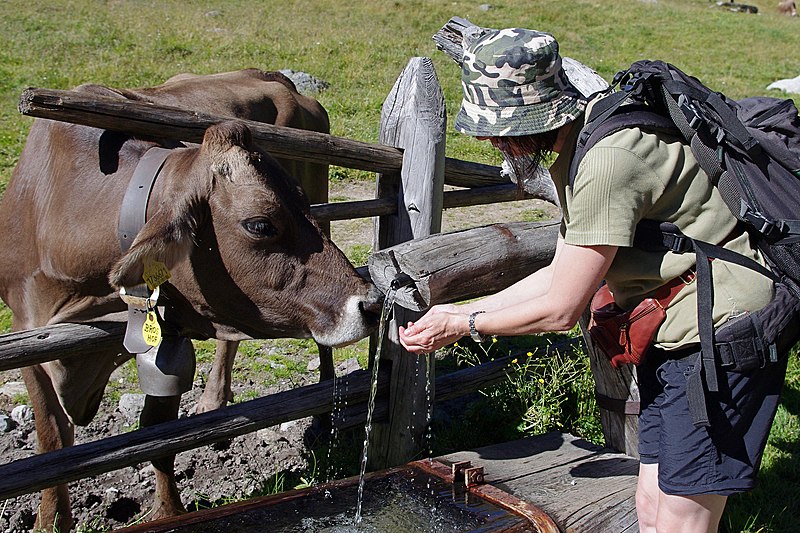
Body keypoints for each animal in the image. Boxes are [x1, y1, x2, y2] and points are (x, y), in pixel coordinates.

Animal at [0, 71, 382, 532]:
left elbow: (158, 432)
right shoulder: (28, 333)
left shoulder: (169, 334)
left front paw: (169, 512)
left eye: (301, 206)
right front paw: (51, 521)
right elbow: (52, 438)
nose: (371, 303)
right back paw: (214, 399)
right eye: (260, 224)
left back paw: (322, 413)